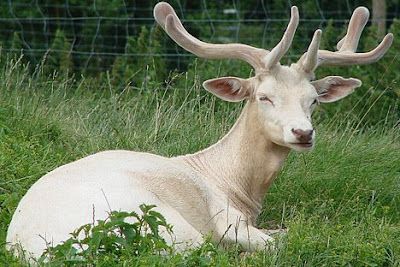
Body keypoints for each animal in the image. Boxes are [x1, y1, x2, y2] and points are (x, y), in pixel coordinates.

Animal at [7, 1, 394, 260]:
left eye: (313, 100)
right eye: (264, 96)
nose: (303, 133)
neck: (236, 187)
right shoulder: (227, 219)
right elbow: (284, 237)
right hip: (167, 226)